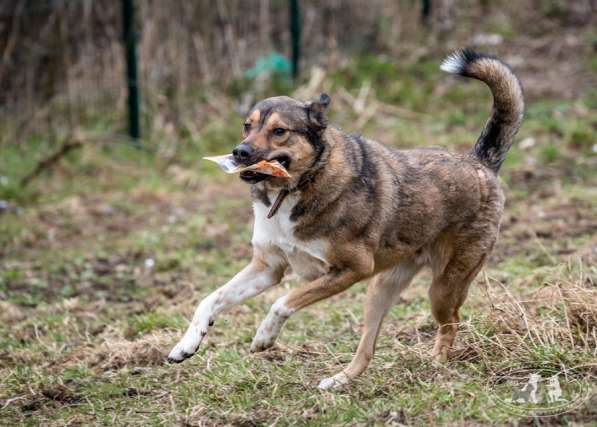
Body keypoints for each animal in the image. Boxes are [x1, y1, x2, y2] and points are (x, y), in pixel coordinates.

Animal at [166, 50, 520, 392]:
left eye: (279, 131)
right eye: (247, 126)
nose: (239, 152)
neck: (297, 187)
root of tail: (479, 162)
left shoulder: (351, 269)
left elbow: (282, 302)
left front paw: (265, 336)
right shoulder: (267, 267)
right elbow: (210, 299)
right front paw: (187, 344)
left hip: (443, 288)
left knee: (452, 322)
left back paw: (434, 367)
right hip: (380, 289)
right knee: (367, 349)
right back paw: (338, 381)